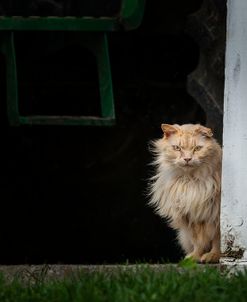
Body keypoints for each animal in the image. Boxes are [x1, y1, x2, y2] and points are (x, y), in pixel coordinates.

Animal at [149, 124, 222, 264]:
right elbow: (198, 241)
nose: (187, 159)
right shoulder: (190, 216)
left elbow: (217, 239)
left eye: (197, 148)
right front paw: (195, 257)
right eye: (177, 148)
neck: (190, 181)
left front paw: (215, 256)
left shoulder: (215, 214)